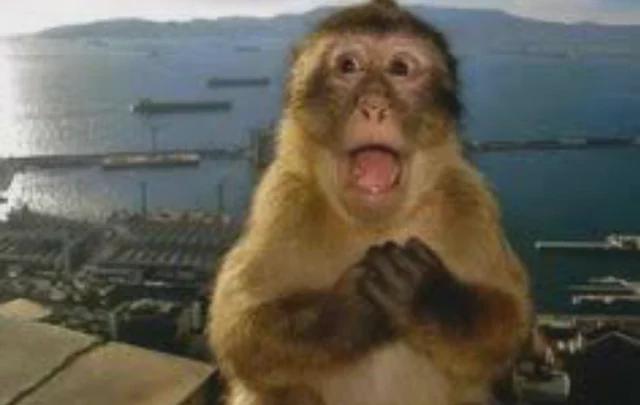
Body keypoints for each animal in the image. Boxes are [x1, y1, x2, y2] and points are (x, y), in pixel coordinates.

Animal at [208, 1, 532, 404]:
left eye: (400, 68)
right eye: (349, 66)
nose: (374, 106)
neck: (376, 224)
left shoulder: (468, 200)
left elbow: (509, 320)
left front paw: (426, 297)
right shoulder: (283, 200)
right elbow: (238, 328)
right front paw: (352, 308)